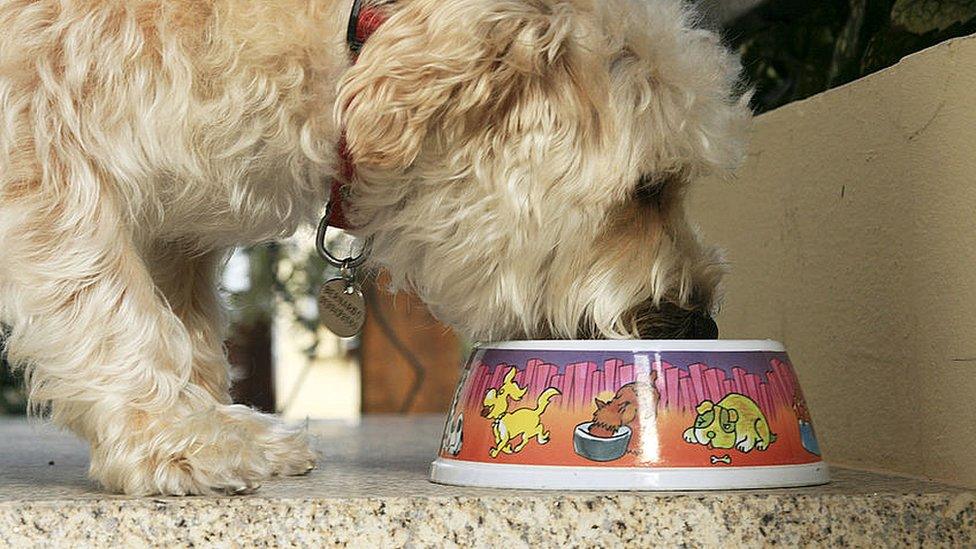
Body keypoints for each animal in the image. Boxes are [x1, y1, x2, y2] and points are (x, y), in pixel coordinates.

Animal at [0, 0, 752, 494]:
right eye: (649, 188)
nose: (700, 323)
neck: (347, 46)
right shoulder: (39, 138)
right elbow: (112, 310)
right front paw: (190, 439)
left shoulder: (173, 220)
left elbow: (184, 324)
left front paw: (207, 413)